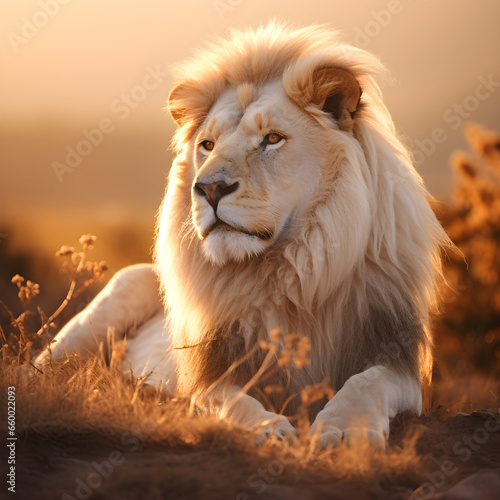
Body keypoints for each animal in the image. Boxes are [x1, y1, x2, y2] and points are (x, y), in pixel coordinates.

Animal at [34, 21, 450, 448]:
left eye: (272, 138)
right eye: (208, 144)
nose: (209, 189)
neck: (292, 273)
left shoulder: (397, 359)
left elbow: (367, 382)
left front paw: (344, 430)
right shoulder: (207, 375)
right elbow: (231, 401)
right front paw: (269, 430)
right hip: (123, 288)